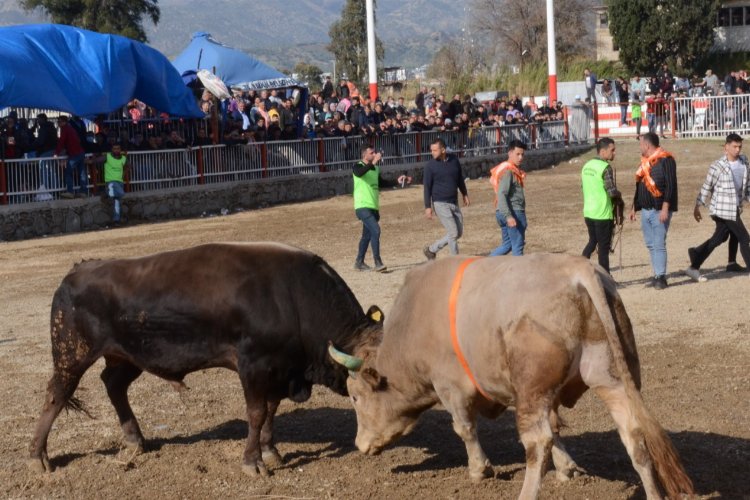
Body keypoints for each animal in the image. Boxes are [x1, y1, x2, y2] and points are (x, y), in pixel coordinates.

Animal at [29, 242, 382, 476]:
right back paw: (38, 455)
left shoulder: (280, 371)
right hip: (72, 354)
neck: (293, 299)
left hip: (125, 356)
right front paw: (252, 462)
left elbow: (270, 411)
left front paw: (271, 452)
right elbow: (256, 413)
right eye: (365, 388)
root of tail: (78, 269)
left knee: (113, 385)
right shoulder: (253, 367)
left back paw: (134, 440)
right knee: (56, 395)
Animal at [332, 254, 696, 500]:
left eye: (355, 396)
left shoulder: (450, 388)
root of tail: (579, 272)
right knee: (633, 434)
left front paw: (480, 469)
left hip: (533, 387)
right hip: (609, 378)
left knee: (536, 443)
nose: (359, 444)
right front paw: (567, 467)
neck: (415, 321)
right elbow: (558, 428)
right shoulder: (540, 394)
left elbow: (464, 428)